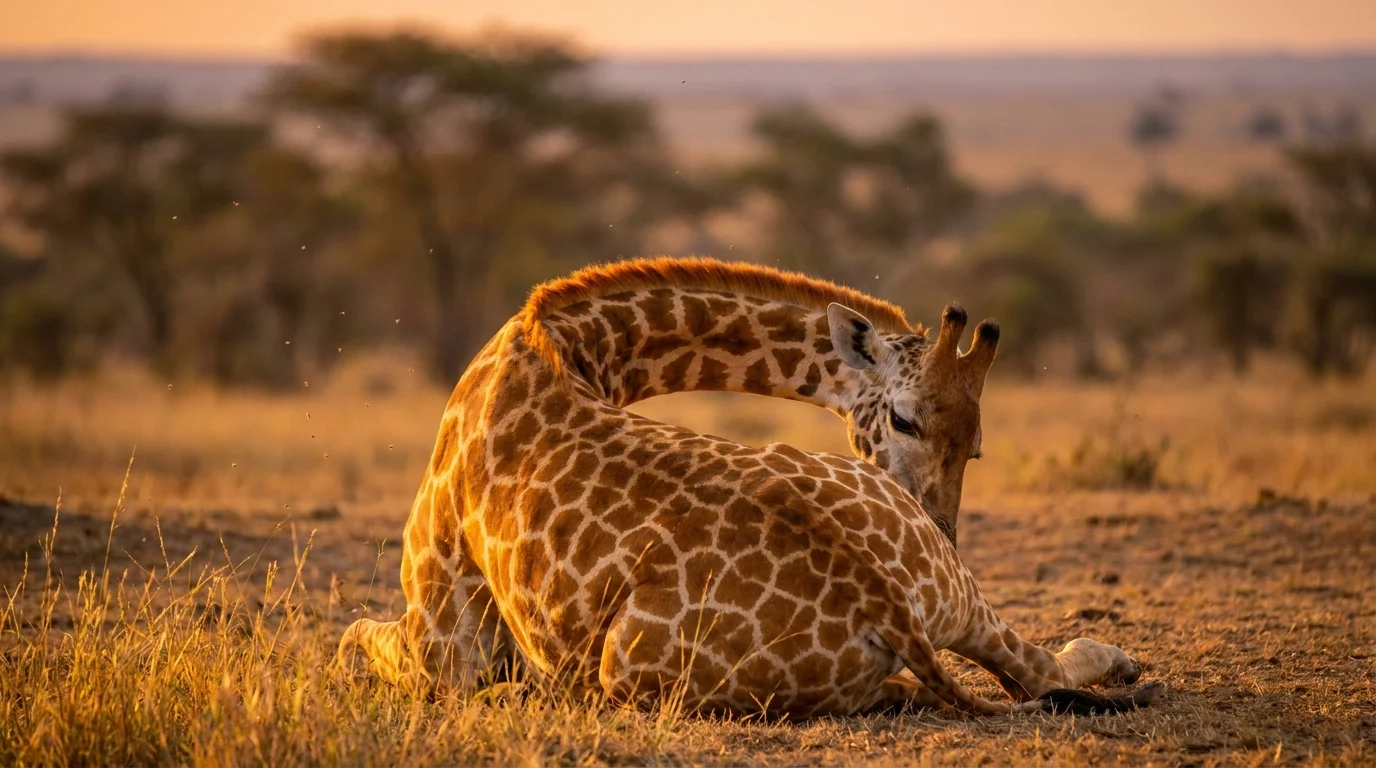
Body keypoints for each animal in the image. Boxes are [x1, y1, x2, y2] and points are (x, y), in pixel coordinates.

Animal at [338, 257, 1160, 717]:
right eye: (903, 419)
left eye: (977, 447)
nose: (941, 523)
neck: (568, 346)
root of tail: (882, 602)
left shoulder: (441, 634)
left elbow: (350, 638)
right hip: (951, 600)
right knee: (1018, 677)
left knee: (1024, 675)